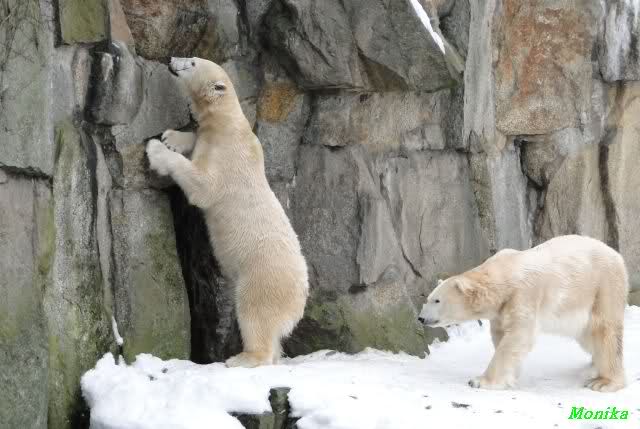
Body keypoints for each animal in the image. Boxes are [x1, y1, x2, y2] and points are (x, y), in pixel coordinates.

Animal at [146, 57, 309, 368]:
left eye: (192, 61)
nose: (172, 60)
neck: (229, 122)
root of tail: (301, 298)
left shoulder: (228, 157)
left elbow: (203, 187)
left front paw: (157, 148)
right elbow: (195, 140)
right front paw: (173, 137)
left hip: (262, 276)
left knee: (254, 312)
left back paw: (242, 358)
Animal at [419, 235, 628, 392]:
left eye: (437, 300)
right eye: (428, 298)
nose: (421, 318)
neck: (505, 272)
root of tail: (617, 255)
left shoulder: (524, 293)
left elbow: (518, 335)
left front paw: (480, 381)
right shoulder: (501, 309)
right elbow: (501, 334)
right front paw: (512, 375)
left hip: (602, 285)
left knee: (604, 330)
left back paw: (604, 382)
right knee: (588, 337)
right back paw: (594, 365)